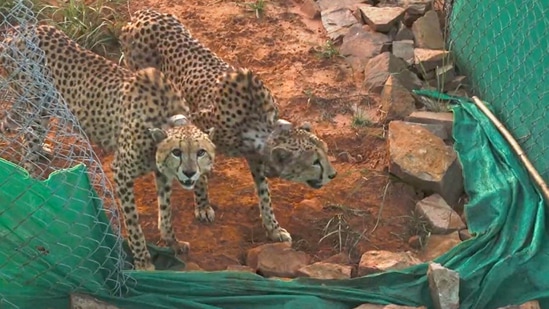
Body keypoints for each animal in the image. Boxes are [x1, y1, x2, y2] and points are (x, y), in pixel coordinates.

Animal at [0, 24, 216, 270]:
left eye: (201, 152)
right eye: (177, 152)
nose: (190, 173)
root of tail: (17, 30)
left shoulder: (161, 173)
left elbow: (166, 213)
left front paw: (173, 242)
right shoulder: (121, 173)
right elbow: (133, 224)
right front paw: (143, 261)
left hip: (44, 105)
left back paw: (39, 155)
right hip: (37, 103)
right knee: (28, 135)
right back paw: (32, 179)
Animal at [117, 8, 336, 242]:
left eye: (326, 152)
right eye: (315, 162)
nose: (333, 175)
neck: (258, 124)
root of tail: (144, 12)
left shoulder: (255, 155)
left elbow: (264, 193)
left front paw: (273, 227)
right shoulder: (196, 125)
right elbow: (194, 161)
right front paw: (202, 204)